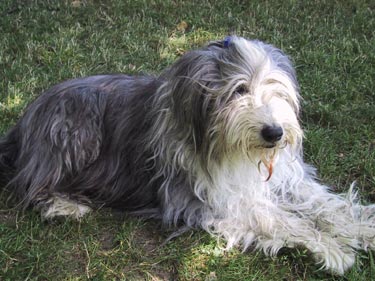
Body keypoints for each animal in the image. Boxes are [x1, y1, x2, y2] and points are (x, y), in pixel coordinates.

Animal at [0, 35, 375, 274]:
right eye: (238, 90)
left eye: (277, 89)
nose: (274, 133)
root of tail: (23, 125)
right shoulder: (206, 198)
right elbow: (276, 218)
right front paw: (332, 248)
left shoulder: (284, 177)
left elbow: (323, 202)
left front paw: (362, 227)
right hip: (73, 129)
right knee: (29, 185)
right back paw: (64, 206)